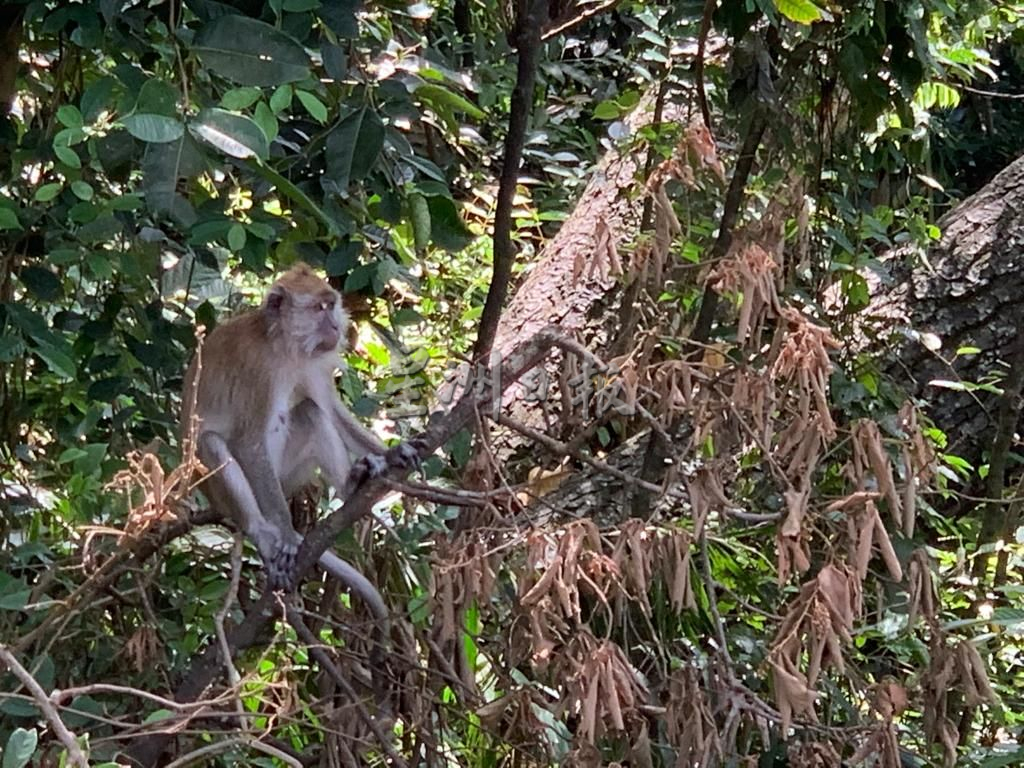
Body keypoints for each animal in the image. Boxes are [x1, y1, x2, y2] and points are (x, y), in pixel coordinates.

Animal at [182, 264, 417, 618]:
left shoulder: (314, 364)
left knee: (310, 412)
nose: (335, 325)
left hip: (288, 478)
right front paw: (289, 538)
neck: (282, 345)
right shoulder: (259, 372)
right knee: (212, 444)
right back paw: (264, 533)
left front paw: (391, 454)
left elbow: (331, 411)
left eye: (331, 304)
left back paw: (352, 485)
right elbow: (249, 443)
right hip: (223, 492)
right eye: (320, 308)